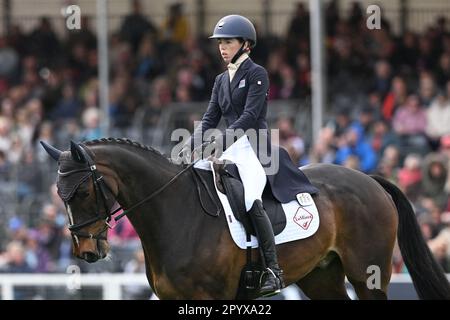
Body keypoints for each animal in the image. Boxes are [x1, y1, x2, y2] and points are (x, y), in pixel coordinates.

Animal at [40, 138, 448, 300]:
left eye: (82, 192)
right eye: (60, 195)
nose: (87, 251)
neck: (174, 213)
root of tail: (370, 180)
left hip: (368, 274)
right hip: (321, 277)